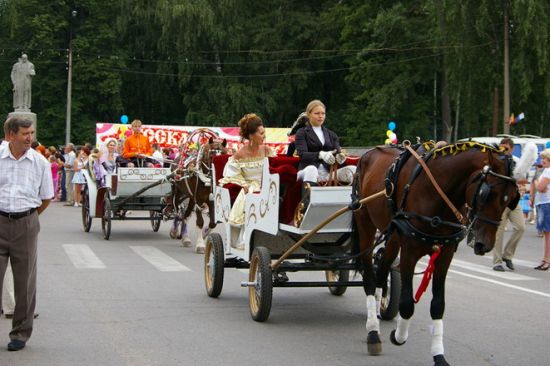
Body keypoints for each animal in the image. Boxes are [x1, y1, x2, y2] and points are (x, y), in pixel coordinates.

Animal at [354, 142, 520, 366]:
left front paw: (439, 355)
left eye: (510, 199)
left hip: (393, 237)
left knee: (381, 271)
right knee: (370, 279)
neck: (433, 192)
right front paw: (399, 336)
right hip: (365, 224)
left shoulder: (444, 255)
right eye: (487, 193)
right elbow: (407, 304)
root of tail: (369, 153)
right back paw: (373, 332)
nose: (484, 245)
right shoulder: (409, 252)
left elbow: (438, 305)